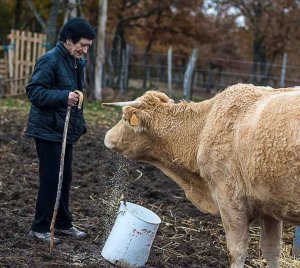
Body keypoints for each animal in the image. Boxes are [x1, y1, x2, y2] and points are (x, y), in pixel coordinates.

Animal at [104, 84, 300, 268]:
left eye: (124, 118)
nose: (106, 136)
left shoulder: (229, 200)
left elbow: (236, 251)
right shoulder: (269, 205)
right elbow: (271, 250)